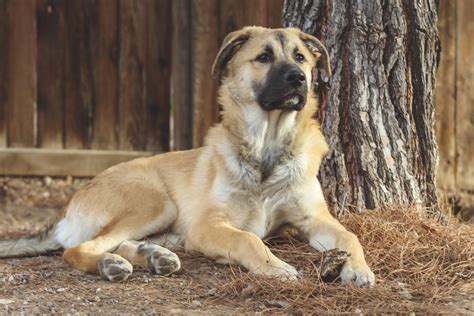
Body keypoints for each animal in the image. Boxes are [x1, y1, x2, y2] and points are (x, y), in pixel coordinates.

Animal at [1, 27, 376, 288]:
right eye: (264, 57)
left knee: (114, 243)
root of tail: (70, 205)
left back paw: (151, 257)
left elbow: (350, 236)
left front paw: (359, 268)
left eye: (300, 58)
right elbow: (248, 238)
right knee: (78, 249)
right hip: (156, 203)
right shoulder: (207, 225)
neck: (266, 149)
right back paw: (111, 265)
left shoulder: (313, 218)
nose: (298, 79)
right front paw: (275, 267)